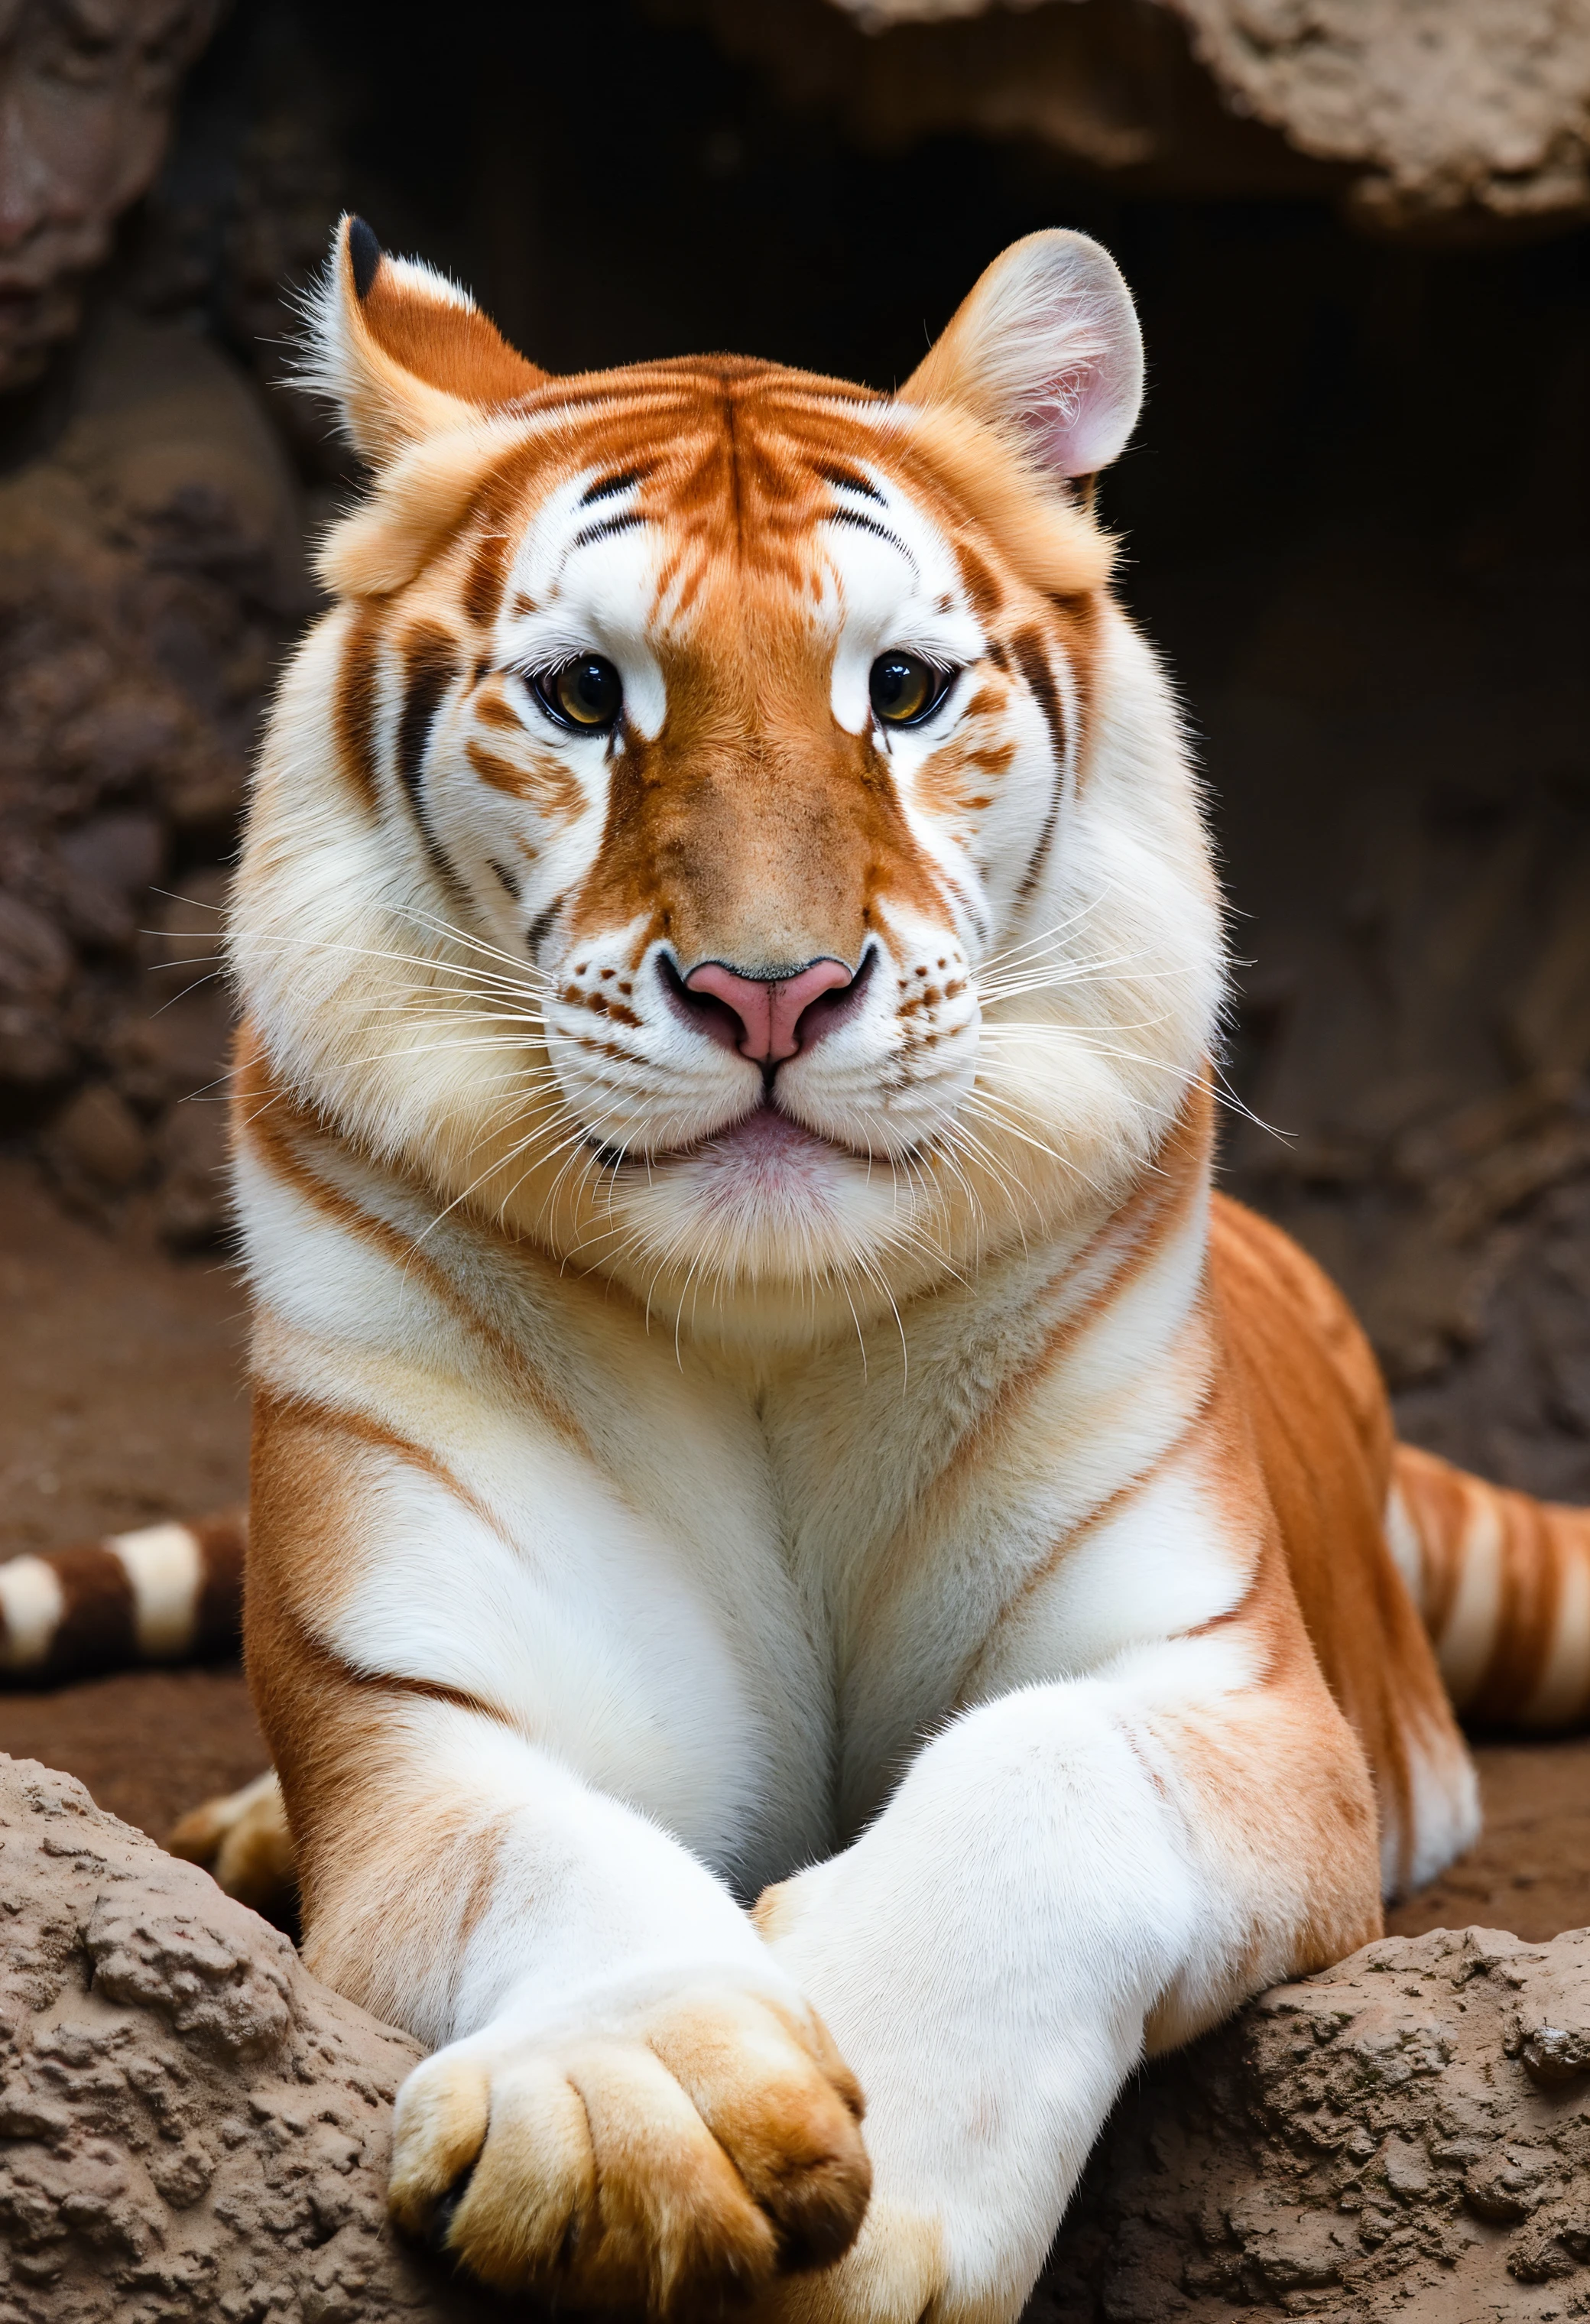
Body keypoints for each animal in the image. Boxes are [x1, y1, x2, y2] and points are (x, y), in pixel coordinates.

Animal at [170, 222, 1590, 2324]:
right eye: (585, 696)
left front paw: (886, 2176)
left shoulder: (1220, 1681)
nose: (770, 988)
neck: (768, 1317)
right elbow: (546, 1855)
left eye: (902, 690)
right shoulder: (421, 1705)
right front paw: (643, 2099)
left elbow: (1039, 1787)